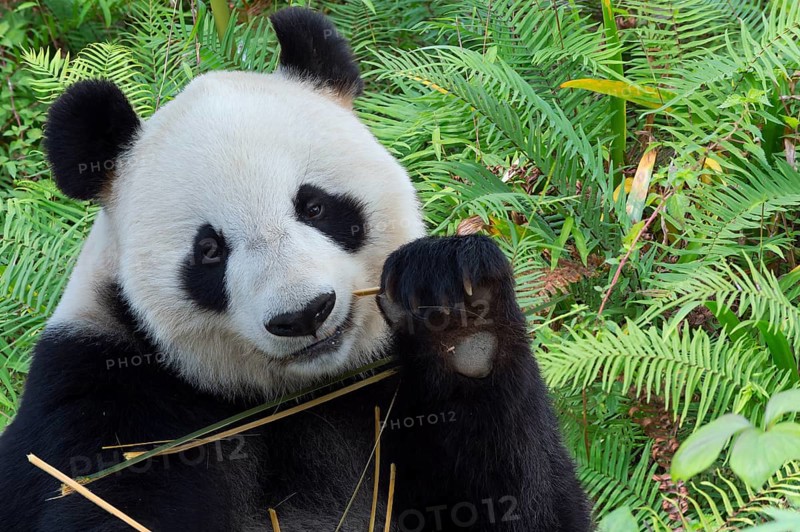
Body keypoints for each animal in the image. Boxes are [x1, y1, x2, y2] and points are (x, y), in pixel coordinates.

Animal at [0, 7, 591, 532]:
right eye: (209, 251)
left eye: (315, 206)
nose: (305, 314)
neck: (296, 396)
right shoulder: (103, 397)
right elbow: (103, 499)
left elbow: (525, 504)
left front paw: (457, 314)